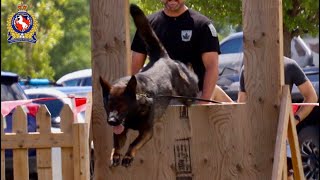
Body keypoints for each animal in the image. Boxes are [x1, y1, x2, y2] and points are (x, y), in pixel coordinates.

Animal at [100, 4, 199, 167]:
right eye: (108, 106)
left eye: (122, 105)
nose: (111, 121)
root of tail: (162, 58)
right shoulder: (120, 130)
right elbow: (117, 143)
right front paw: (115, 155)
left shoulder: (147, 131)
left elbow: (133, 143)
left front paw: (128, 156)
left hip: (188, 92)